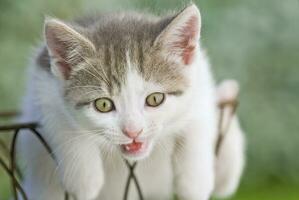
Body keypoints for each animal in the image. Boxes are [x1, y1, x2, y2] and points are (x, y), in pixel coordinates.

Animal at [19, 3, 246, 200]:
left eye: (155, 99)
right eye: (103, 105)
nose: (133, 131)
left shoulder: (200, 77)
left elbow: (199, 117)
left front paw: (194, 182)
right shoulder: (41, 85)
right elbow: (60, 120)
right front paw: (84, 180)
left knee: (225, 181)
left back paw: (228, 93)